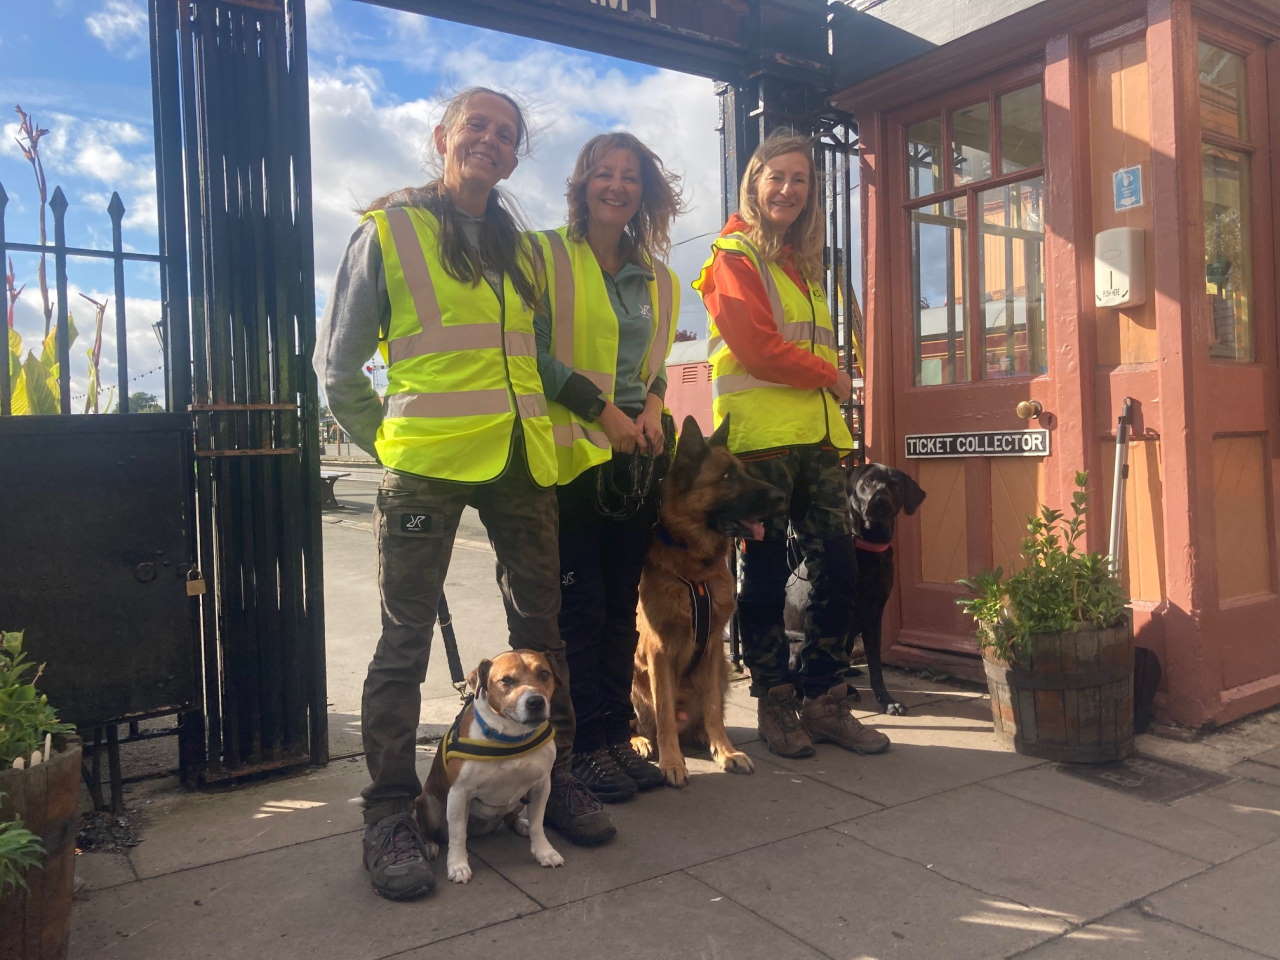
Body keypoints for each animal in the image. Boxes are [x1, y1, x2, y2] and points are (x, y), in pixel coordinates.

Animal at [417, 650, 563, 885]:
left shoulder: (541, 785)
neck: (511, 736)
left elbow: (538, 823)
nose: (535, 702)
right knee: (432, 828)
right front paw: (458, 865)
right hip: (428, 802)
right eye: (506, 680)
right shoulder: (459, 793)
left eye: (544, 674)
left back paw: (521, 824)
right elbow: (458, 835)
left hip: (519, 800)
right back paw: (430, 845)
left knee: (511, 816)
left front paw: (544, 852)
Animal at [627, 414, 778, 788]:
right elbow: (664, 713)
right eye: (726, 477)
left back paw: (700, 736)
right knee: (638, 721)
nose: (781, 496)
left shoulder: (711, 650)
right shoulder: (659, 652)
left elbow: (712, 710)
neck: (695, 570)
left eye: (743, 471)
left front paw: (725, 750)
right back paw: (641, 741)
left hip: (722, 669)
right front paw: (672, 762)